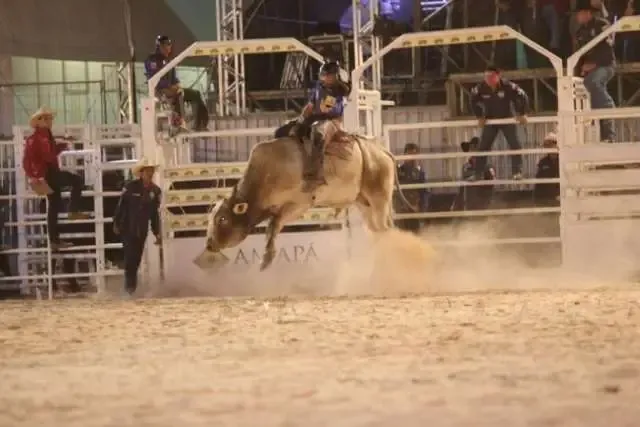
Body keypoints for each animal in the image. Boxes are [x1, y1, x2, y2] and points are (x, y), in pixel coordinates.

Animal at [200, 119, 412, 270]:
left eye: (222, 219)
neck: (268, 172)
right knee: (377, 230)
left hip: (379, 197)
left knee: (385, 228)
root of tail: (382, 151)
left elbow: (273, 224)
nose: (209, 244)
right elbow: (273, 226)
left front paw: (266, 258)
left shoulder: (299, 204)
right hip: (364, 202)